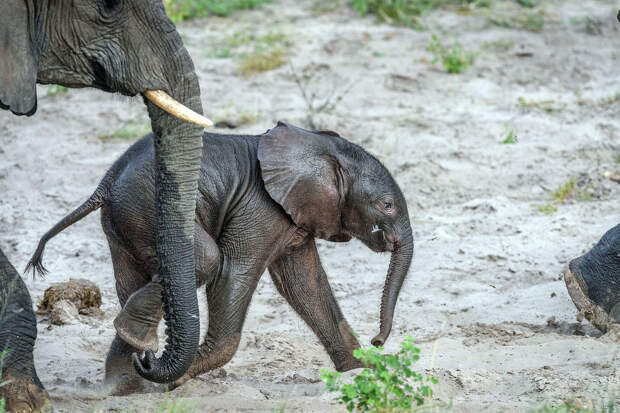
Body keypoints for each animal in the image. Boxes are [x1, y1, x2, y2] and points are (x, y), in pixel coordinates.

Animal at [30, 120, 416, 392]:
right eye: (387, 205)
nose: (378, 341)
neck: (319, 146)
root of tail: (106, 182)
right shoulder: (260, 208)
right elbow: (235, 273)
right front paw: (177, 380)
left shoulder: (294, 215)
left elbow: (305, 284)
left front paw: (361, 373)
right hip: (146, 208)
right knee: (205, 260)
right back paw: (140, 362)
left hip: (126, 220)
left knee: (134, 281)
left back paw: (124, 381)